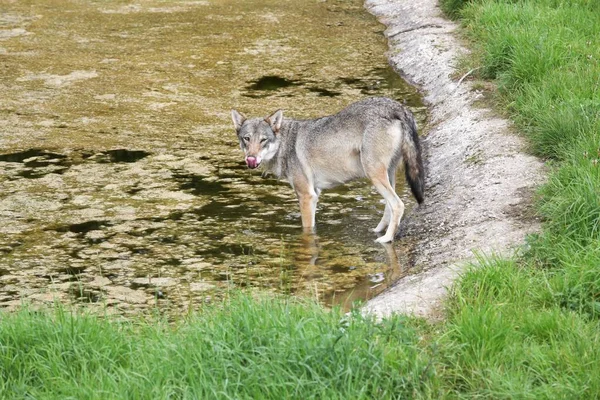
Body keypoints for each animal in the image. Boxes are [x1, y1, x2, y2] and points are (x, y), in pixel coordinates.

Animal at [230, 96, 422, 244]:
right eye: (247, 139)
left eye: (263, 140)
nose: (251, 159)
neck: (285, 143)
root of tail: (397, 106)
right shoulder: (315, 194)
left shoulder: (306, 196)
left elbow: (307, 228)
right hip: (386, 175)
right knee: (389, 206)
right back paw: (377, 230)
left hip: (374, 174)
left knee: (397, 204)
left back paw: (387, 238)